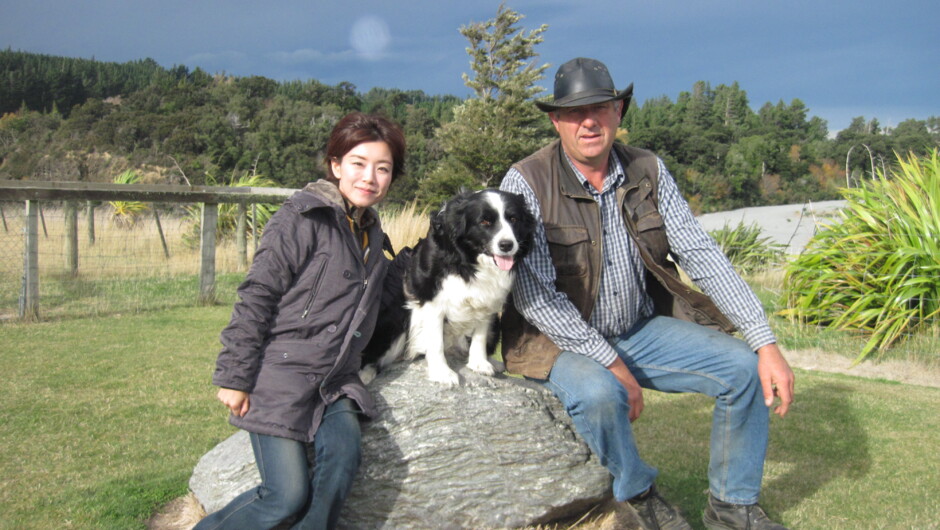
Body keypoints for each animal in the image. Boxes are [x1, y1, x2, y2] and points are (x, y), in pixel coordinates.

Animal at [362, 190, 536, 384]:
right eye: (485, 222)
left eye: (514, 219)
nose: (507, 245)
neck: (468, 261)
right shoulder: (431, 299)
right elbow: (436, 340)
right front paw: (442, 372)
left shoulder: (487, 301)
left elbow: (480, 334)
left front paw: (479, 363)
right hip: (396, 318)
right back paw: (365, 374)